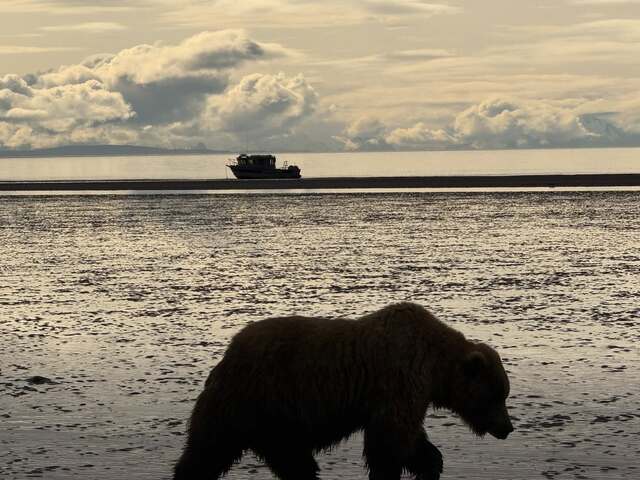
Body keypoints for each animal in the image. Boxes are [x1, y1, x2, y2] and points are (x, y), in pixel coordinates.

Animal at [174, 302, 513, 480]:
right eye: (497, 395)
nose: (507, 427)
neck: (434, 366)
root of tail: (228, 353)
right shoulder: (399, 380)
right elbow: (390, 442)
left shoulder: (405, 395)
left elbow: (412, 440)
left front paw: (430, 465)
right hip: (254, 399)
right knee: (208, 449)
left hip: (274, 422)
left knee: (292, 462)